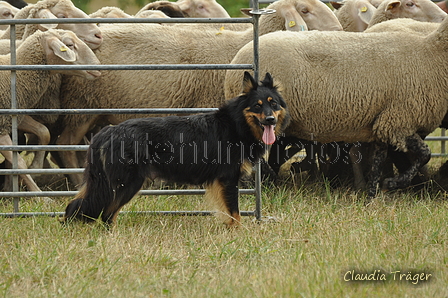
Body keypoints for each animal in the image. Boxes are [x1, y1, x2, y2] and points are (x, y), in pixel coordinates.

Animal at [0, 28, 101, 196]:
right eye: (69, 45)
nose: (98, 68)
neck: (13, 78)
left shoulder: (16, 116)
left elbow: (44, 132)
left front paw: (35, 166)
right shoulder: (1, 126)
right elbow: (18, 163)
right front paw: (38, 195)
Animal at [61, 71, 288, 226]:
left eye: (273, 104)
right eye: (258, 105)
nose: (270, 119)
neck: (236, 123)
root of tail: (108, 131)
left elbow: (228, 213)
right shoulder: (228, 179)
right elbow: (235, 213)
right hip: (125, 184)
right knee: (106, 214)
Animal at [224, 19, 448, 199]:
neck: (431, 53)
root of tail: (237, 61)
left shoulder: (384, 122)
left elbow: (378, 162)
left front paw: (373, 195)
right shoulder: (400, 121)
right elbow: (425, 154)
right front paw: (393, 183)